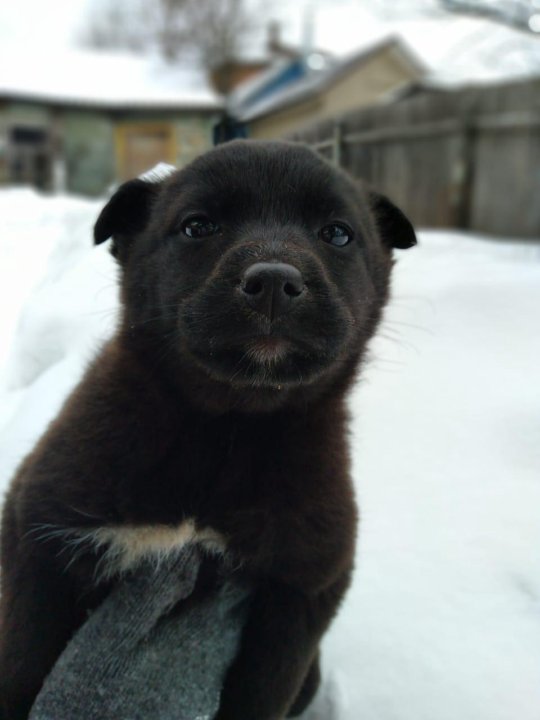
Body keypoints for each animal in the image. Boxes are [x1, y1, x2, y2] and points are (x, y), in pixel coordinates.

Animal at [0, 142, 416, 720]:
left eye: (337, 233)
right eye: (197, 226)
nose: (273, 282)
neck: (225, 427)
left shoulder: (301, 592)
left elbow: (260, 694)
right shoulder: (39, 538)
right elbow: (22, 664)